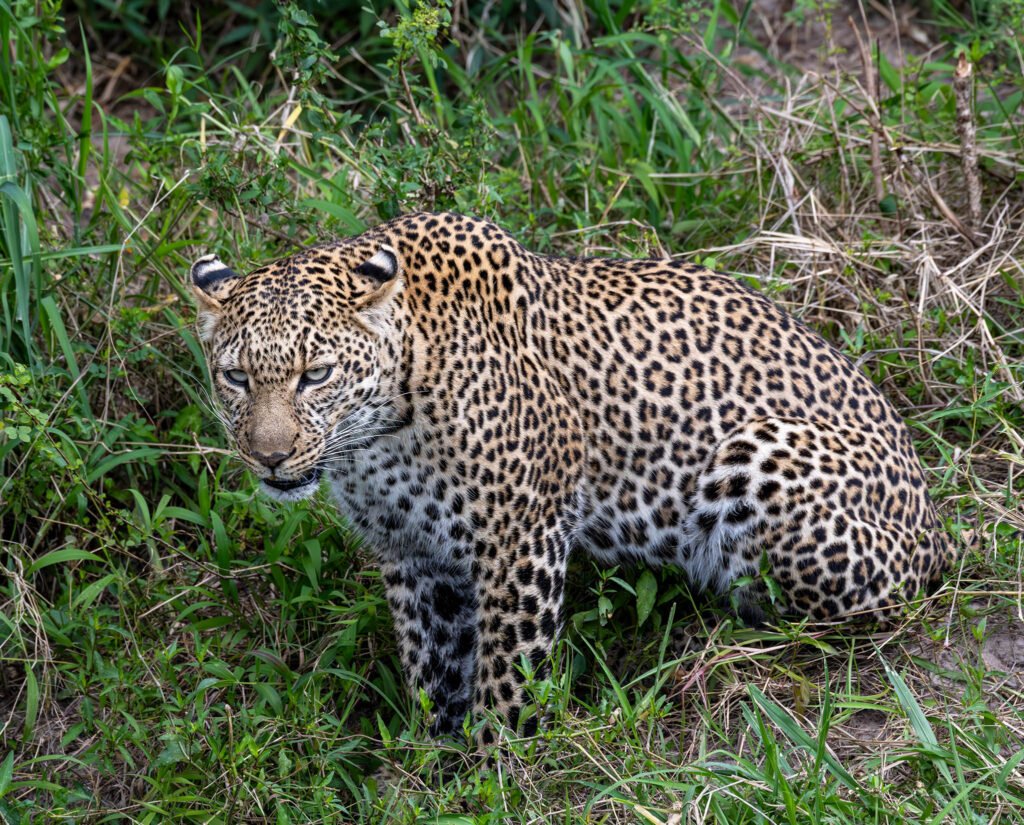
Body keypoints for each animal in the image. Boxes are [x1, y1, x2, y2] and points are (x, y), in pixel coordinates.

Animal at [188, 209, 954, 745]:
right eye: (236, 377)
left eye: (315, 374)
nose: (269, 456)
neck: (378, 436)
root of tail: (940, 528)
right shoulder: (412, 555)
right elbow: (433, 668)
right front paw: (430, 765)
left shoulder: (520, 537)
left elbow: (506, 675)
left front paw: (496, 770)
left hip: (759, 456)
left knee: (847, 616)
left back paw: (713, 644)